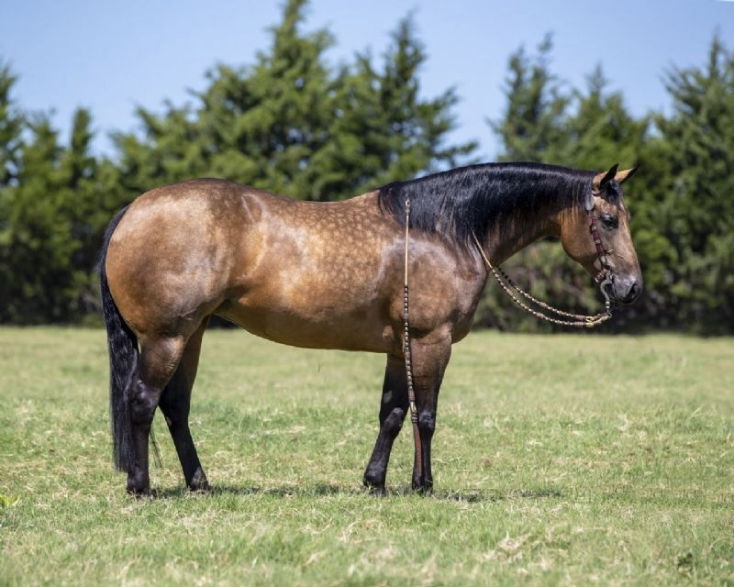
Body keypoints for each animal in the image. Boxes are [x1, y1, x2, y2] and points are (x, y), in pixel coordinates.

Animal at [99, 162, 642, 496]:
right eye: (609, 220)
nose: (631, 287)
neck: (442, 230)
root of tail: (132, 211)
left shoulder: (400, 348)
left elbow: (393, 413)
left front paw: (375, 481)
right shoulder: (431, 342)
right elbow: (426, 416)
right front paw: (423, 485)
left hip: (191, 335)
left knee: (175, 407)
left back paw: (200, 483)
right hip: (166, 338)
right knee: (142, 401)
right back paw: (141, 488)